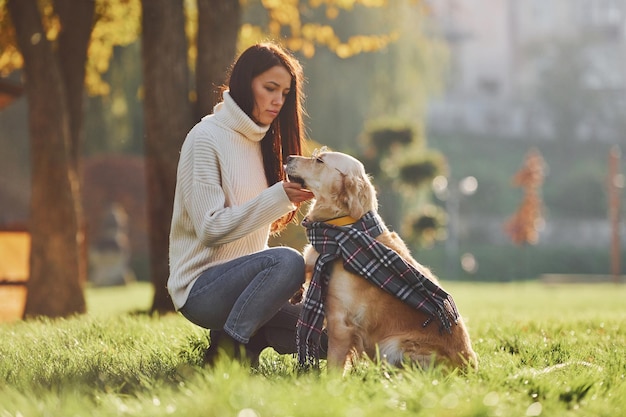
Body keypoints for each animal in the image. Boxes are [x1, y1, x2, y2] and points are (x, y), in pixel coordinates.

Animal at [286, 150, 476, 370]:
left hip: (394, 345)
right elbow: (304, 262)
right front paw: (297, 291)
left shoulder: (340, 322)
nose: (288, 158)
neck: (341, 230)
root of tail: (470, 366)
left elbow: (335, 364)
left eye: (319, 161)